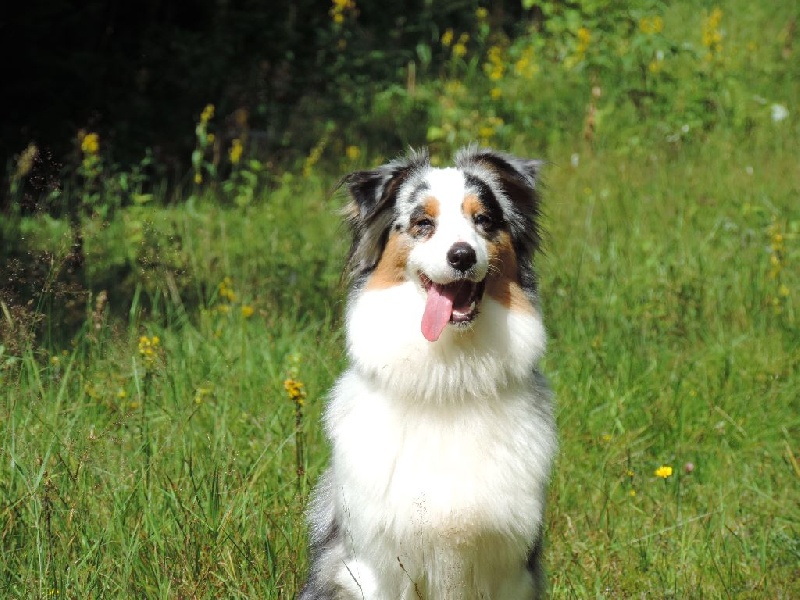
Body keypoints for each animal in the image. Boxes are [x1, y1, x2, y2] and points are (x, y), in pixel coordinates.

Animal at [300, 146, 556, 600]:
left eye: (483, 221)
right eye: (423, 224)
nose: (462, 255)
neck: (448, 380)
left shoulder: (511, 570)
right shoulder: (372, 567)